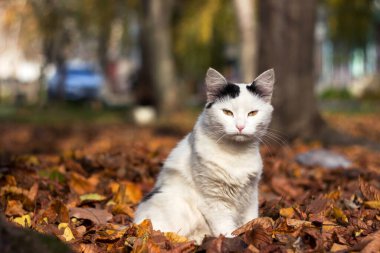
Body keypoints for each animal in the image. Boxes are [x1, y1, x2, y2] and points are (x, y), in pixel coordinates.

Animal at [134, 67, 274, 243]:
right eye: (227, 112)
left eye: (253, 113)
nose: (240, 126)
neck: (236, 154)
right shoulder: (214, 200)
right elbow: (225, 228)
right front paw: (232, 242)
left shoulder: (251, 194)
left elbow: (251, 219)